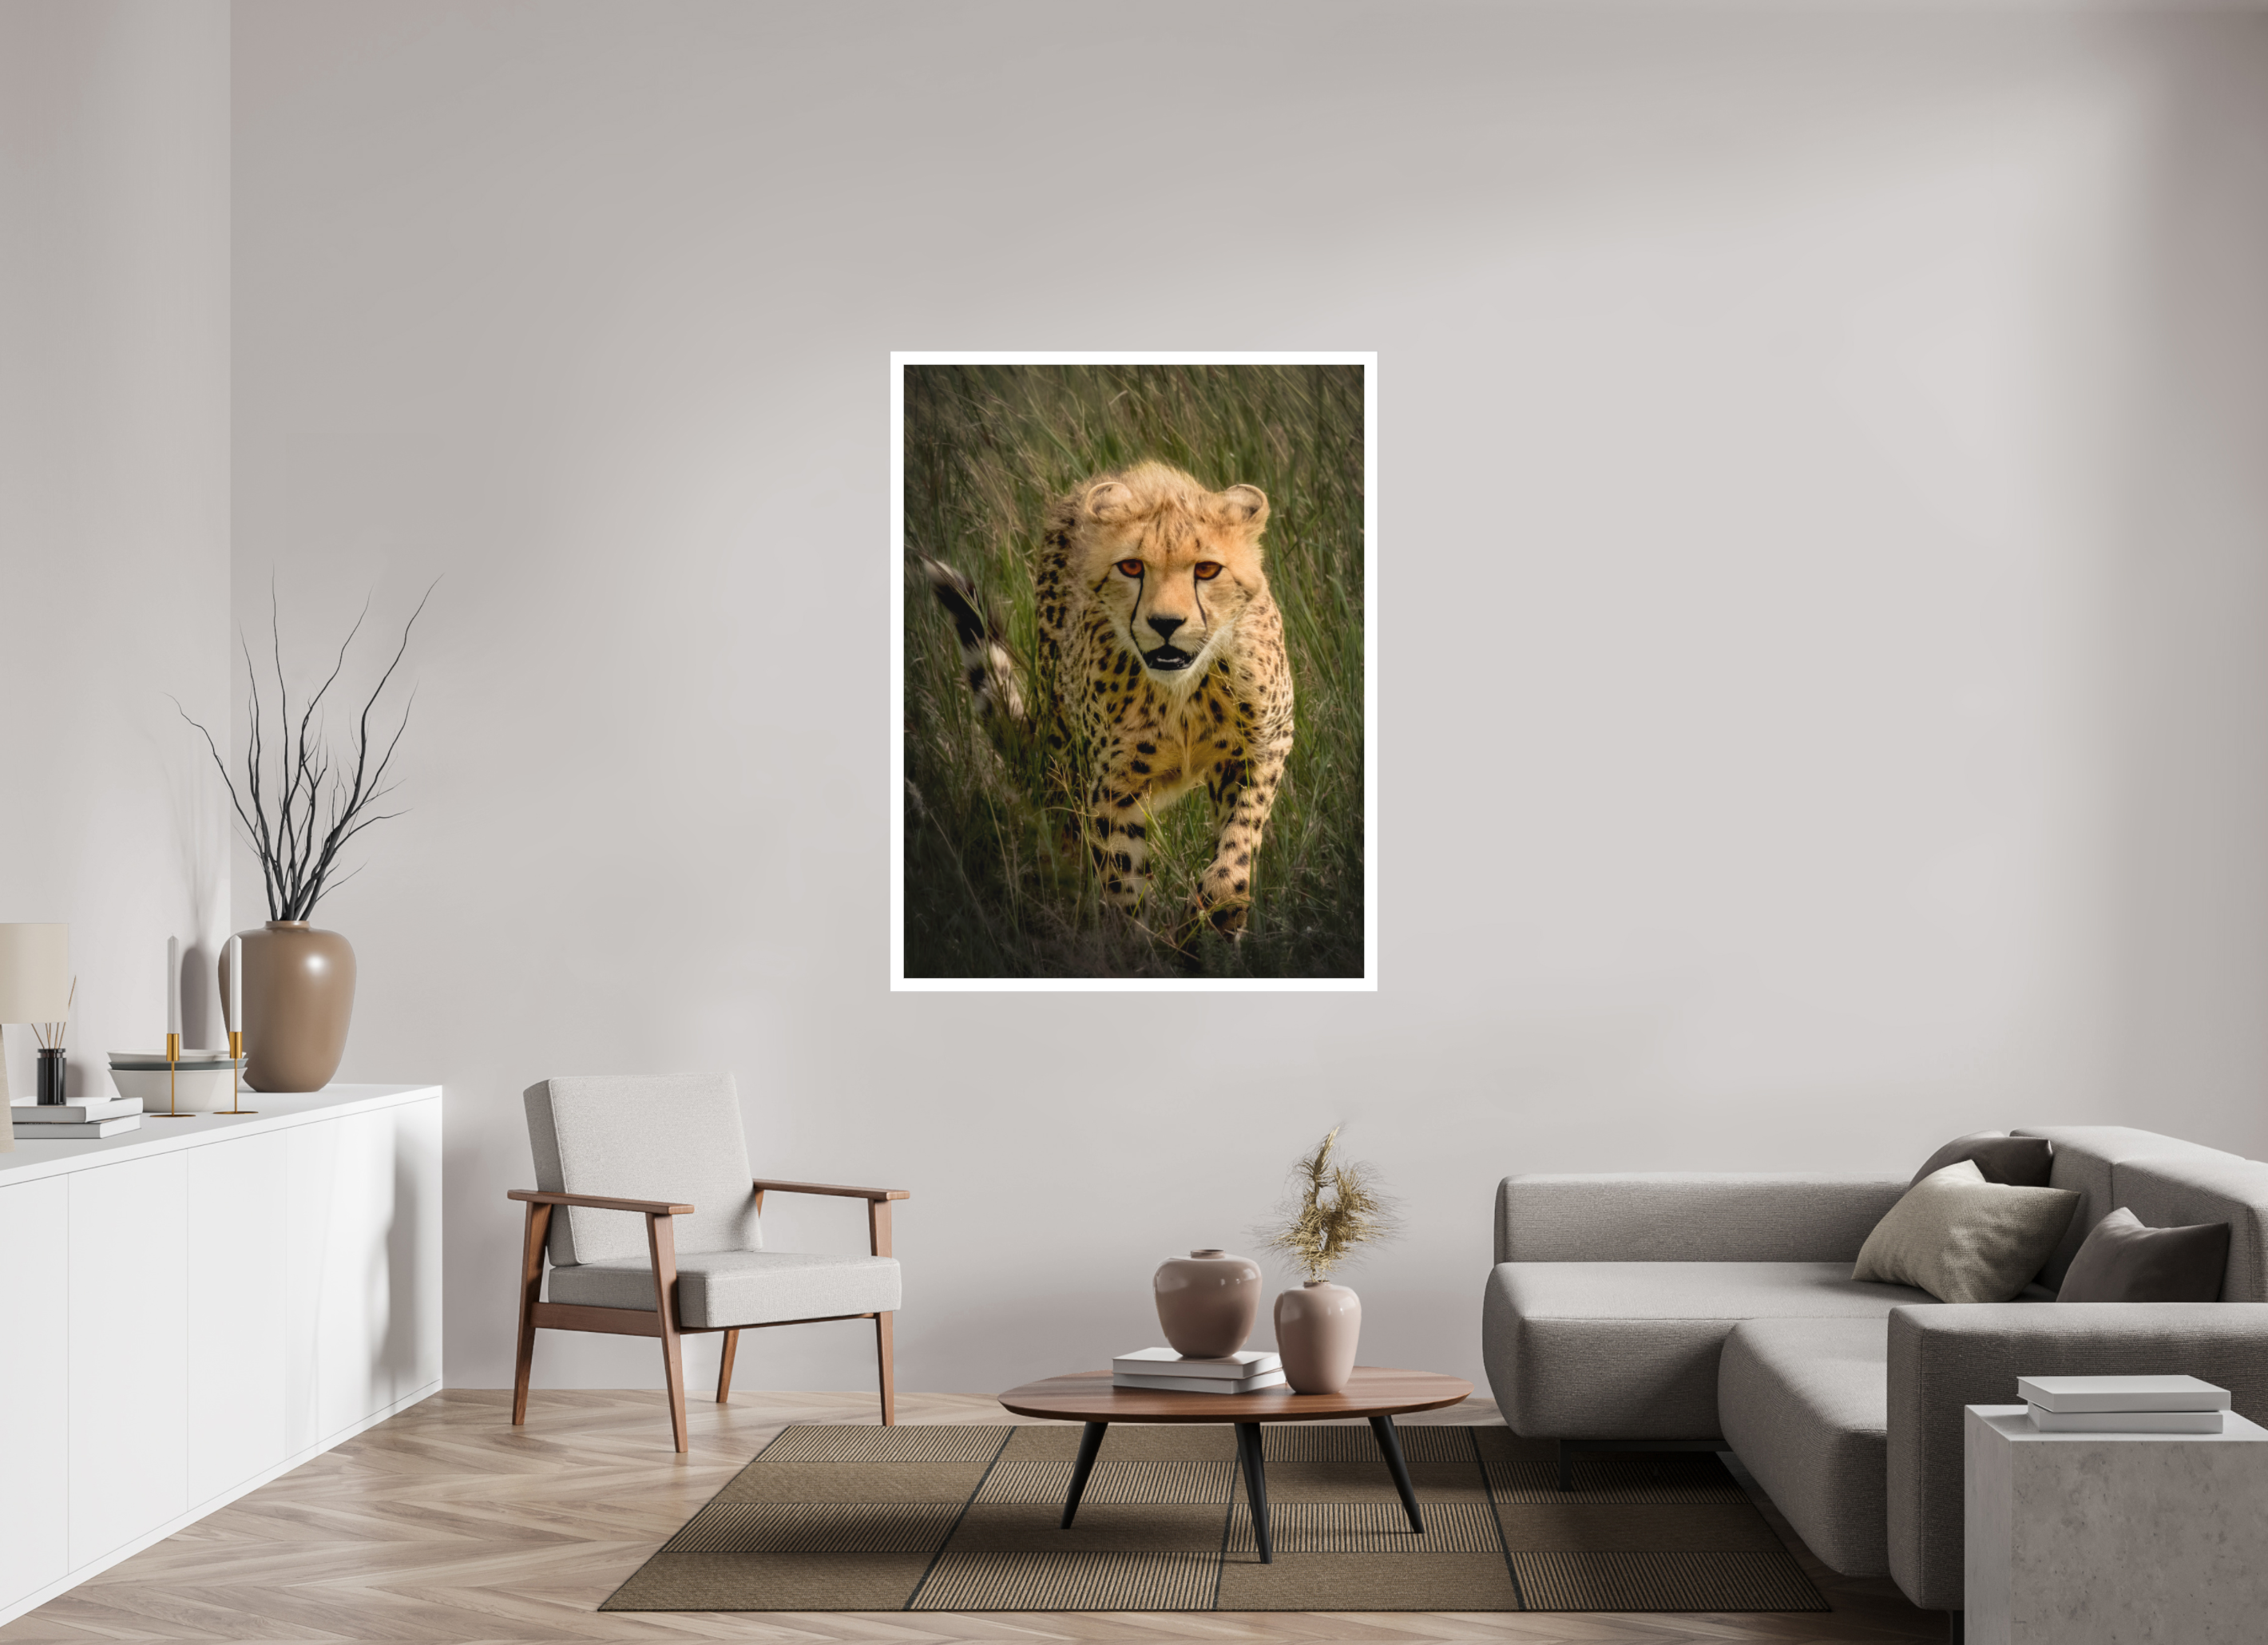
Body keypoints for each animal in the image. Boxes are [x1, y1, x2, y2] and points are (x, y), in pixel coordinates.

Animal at [926, 461, 1294, 936]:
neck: (1181, 691)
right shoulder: (1114, 785)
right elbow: (1122, 877)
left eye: (1208, 569)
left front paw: (1216, 912)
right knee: (1067, 831)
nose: (1166, 623)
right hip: (1065, 755)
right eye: (1132, 567)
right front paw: (1134, 943)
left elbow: (1239, 841)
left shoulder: (1264, 745)